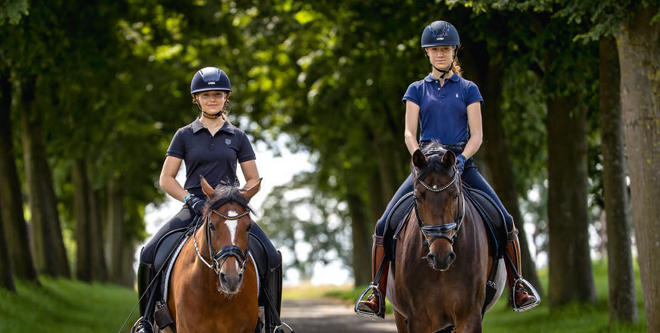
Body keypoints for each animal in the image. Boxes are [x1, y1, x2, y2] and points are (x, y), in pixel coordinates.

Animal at [390, 145, 502, 332]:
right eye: (417, 198)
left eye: (455, 195)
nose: (441, 257)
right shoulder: (417, 319)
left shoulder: (469, 315)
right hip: (400, 315)